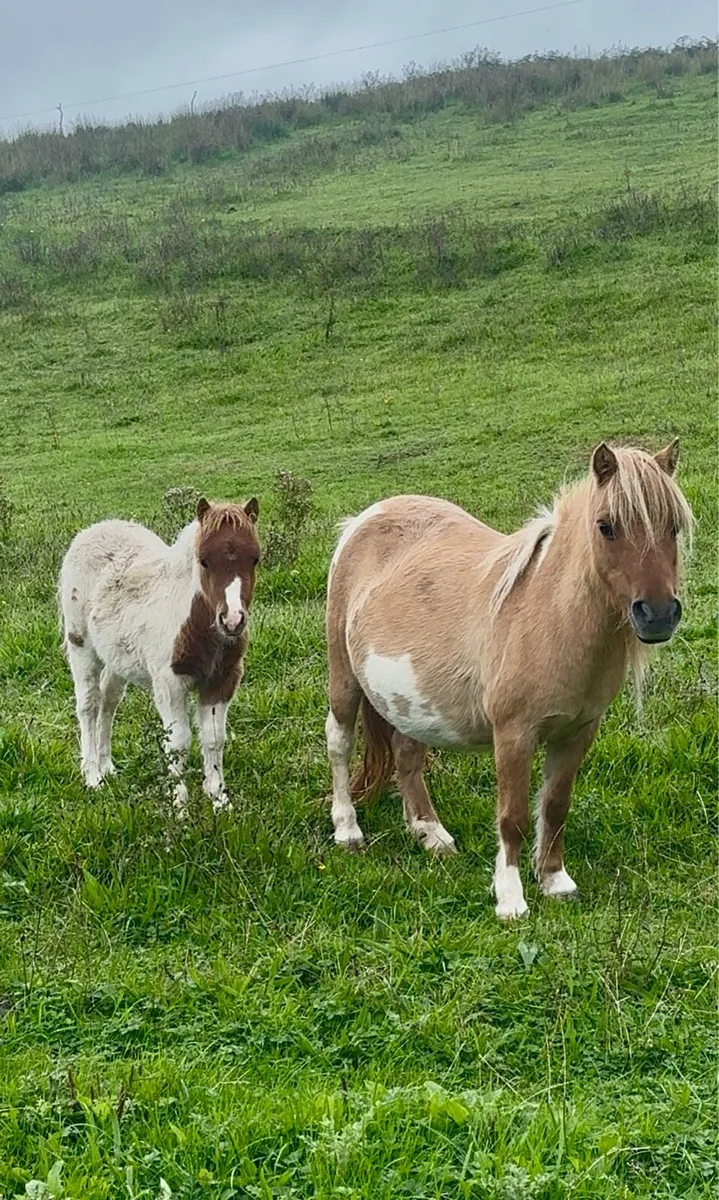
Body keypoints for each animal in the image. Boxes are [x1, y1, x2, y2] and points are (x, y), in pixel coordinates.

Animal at [59, 496, 260, 813]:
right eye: (203, 559)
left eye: (255, 558)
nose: (232, 621)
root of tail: (93, 530)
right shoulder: (169, 682)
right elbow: (178, 742)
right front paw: (179, 805)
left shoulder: (222, 680)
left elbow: (214, 738)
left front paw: (218, 799)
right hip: (81, 645)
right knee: (89, 704)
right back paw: (92, 776)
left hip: (116, 659)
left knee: (108, 702)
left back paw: (107, 767)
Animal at [324, 440, 692, 919]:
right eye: (606, 527)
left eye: (674, 526)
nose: (659, 614)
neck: (550, 617)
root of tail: (363, 519)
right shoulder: (514, 734)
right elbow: (512, 816)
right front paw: (511, 898)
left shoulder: (577, 732)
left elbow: (555, 806)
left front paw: (555, 880)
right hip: (344, 679)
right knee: (339, 742)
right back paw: (348, 830)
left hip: (412, 701)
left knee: (407, 753)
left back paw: (430, 833)